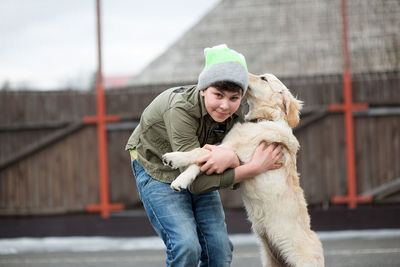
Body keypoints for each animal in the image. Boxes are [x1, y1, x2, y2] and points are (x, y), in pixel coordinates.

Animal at [163, 74, 324, 267]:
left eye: (263, 78)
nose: (244, 74)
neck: (264, 119)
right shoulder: (225, 150)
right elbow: (199, 160)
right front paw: (181, 175)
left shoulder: (235, 154)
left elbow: (199, 152)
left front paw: (174, 160)